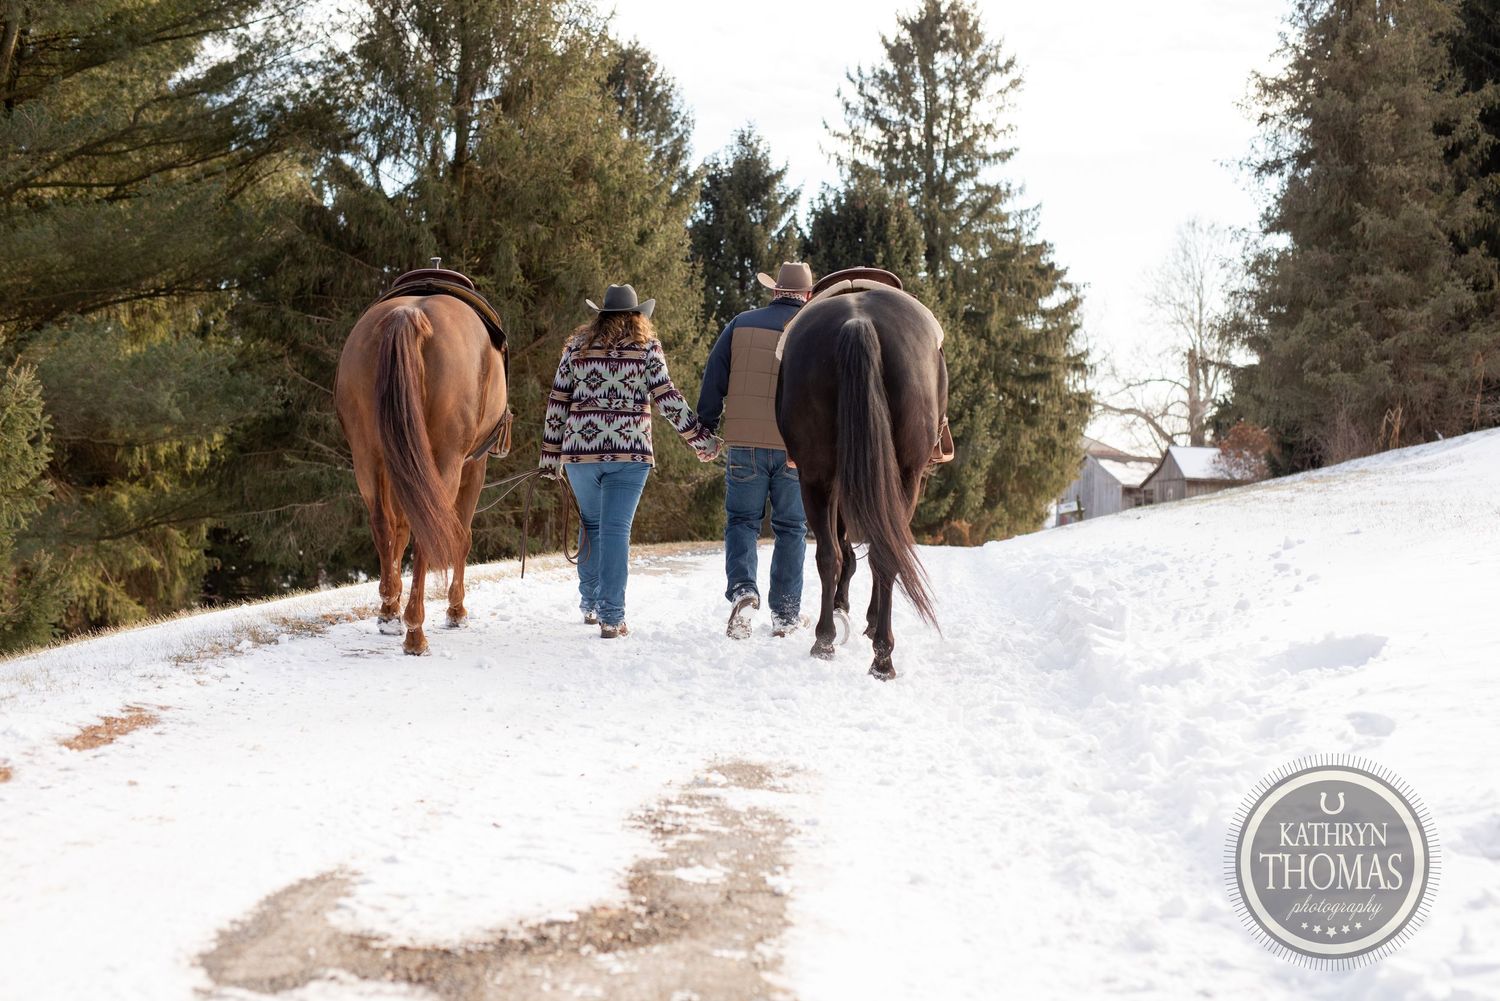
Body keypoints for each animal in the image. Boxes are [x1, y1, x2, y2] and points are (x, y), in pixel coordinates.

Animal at [334, 281, 509, 655]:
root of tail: (409, 314)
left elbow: (398, 532)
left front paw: (389, 610)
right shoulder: (475, 465)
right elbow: (461, 536)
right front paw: (456, 611)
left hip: (368, 455)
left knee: (384, 523)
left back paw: (391, 611)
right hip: (445, 460)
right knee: (430, 529)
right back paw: (416, 632)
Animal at [776, 276, 947, 680]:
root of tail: (858, 321)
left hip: (817, 477)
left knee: (831, 554)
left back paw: (831, 643)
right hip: (903, 477)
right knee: (878, 554)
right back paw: (876, 653)